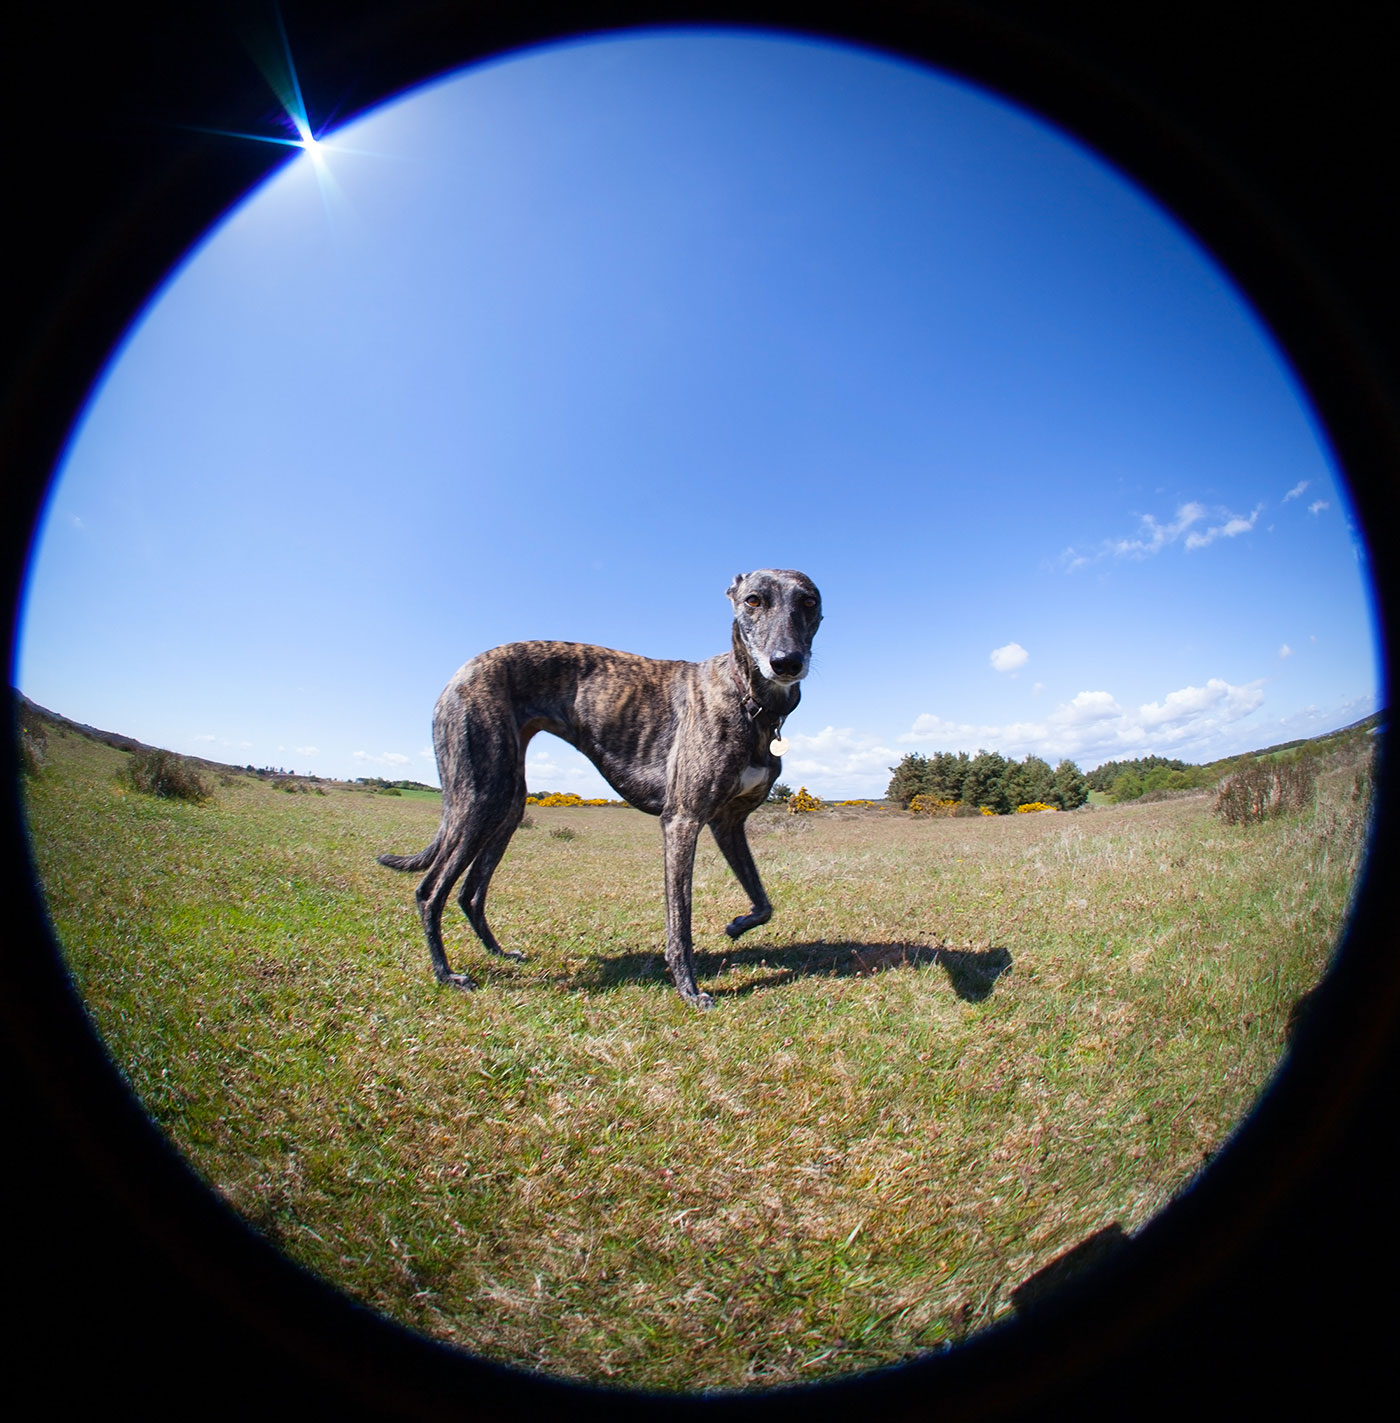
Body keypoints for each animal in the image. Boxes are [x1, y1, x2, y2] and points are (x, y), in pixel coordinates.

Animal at [378, 560, 825, 1007]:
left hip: (507, 805)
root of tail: (463, 670)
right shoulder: (682, 820)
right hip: (480, 798)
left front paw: (736, 925)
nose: (786, 662)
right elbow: (680, 920)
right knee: (429, 892)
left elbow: (763, 902)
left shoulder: (728, 823)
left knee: (470, 893)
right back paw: (446, 974)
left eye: (808, 602)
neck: (749, 699)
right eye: (753, 600)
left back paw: (500, 952)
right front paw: (689, 988)